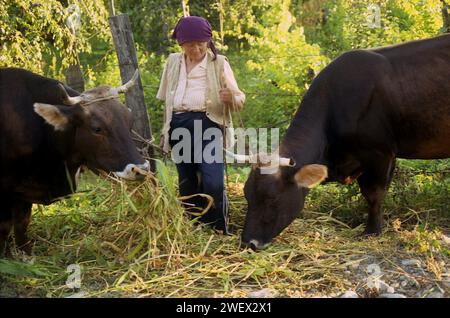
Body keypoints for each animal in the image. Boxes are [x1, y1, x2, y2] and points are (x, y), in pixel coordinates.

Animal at [0, 67, 150, 256]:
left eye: (130, 121)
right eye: (97, 128)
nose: (140, 169)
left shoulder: (22, 192)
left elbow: (21, 224)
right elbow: (7, 227)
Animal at [239, 33, 450, 250]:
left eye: (271, 199)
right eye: (247, 195)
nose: (248, 242)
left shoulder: (380, 153)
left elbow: (374, 194)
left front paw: (372, 231)